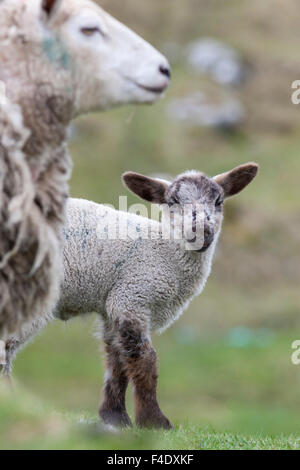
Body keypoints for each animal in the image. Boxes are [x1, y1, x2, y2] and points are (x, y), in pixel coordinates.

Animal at [2, 162, 258, 430]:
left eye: (218, 201)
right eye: (172, 201)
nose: (202, 232)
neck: (163, 251)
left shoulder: (114, 306)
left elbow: (117, 362)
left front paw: (115, 416)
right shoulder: (132, 296)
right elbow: (145, 361)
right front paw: (154, 420)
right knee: (6, 349)